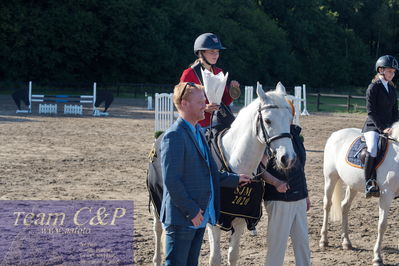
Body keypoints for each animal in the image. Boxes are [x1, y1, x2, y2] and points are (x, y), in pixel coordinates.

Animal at [320, 124, 399, 266]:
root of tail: (335, 134)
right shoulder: (386, 194)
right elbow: (382, 225)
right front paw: (377, 257)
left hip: (352, 184)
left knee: (345, 206)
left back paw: (346, 242)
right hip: (330, 177)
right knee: (327, 205)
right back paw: (324, 240)